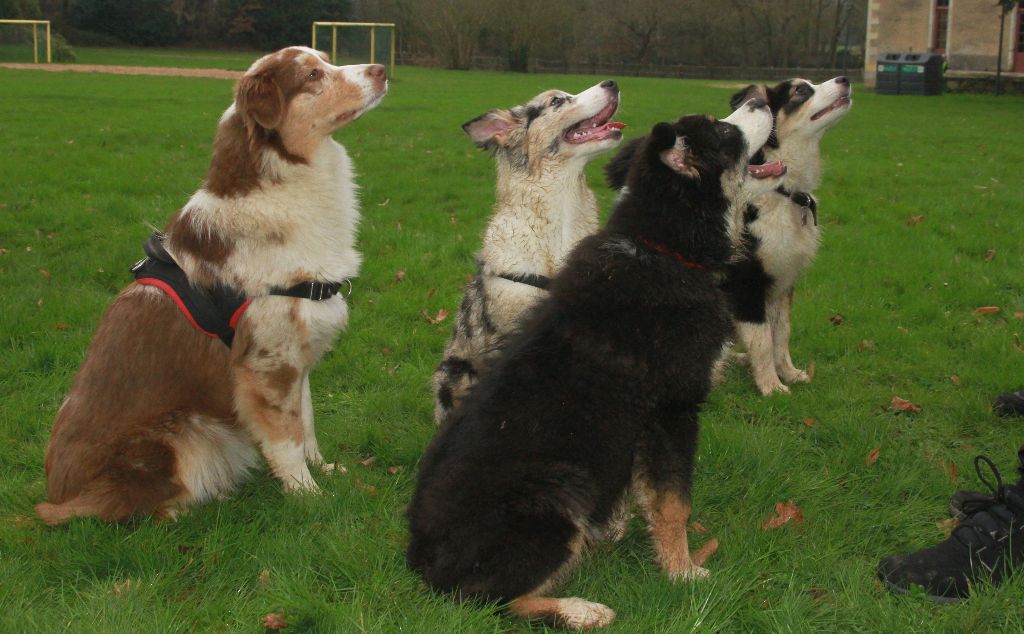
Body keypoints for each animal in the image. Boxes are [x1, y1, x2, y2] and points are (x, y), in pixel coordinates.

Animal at [36, 47, 387, 524]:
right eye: (313, 76)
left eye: (327, 60)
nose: (382, 69)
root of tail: (61, 497)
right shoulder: (267, 361)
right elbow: (287, 436)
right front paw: (308, 496)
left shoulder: (296, 354)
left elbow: (307, 418)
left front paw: (323, 469)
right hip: (185, 430)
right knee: (141, 510)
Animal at [403, 100, 778, 630]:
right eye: (724, 131)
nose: (761, 101)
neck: (665, 247)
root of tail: (418, 559)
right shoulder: (671, 412)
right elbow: (675, 504)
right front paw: (683, 572)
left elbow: (648, 496)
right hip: (560, 489)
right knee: (486, 597)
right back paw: (580, 608)